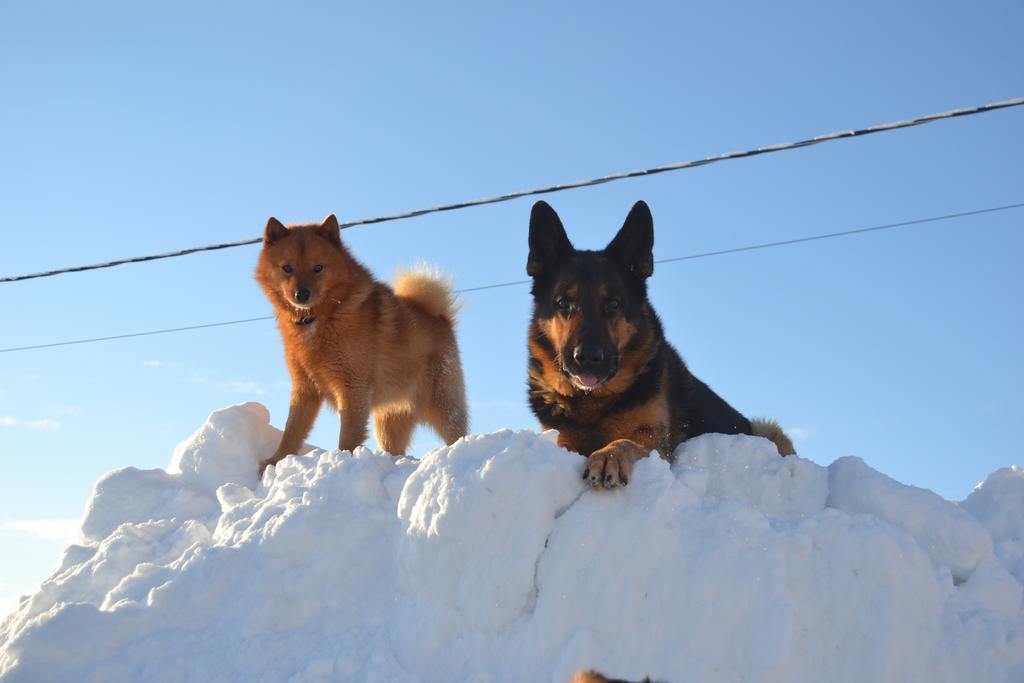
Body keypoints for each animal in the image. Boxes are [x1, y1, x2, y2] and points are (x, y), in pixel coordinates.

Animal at [256, 216, 468, 473]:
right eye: (287, 268)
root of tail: (439, 316)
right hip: (389, 418)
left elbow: (348, 435)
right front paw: (274, 462)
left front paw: (342, 461)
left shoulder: (353, 387)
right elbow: (292, 430)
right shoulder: (305, 389)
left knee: (456, 431)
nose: (301, 294)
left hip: (442, 404)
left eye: (318, 268)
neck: (324, 315)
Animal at [524, 200, 794, 489]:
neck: (593, 404)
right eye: (563, 303)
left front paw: (607, 456)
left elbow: (625, 441)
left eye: (613, 304)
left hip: (768, 429)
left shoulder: (654, 443)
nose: (587, 358)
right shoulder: (561, 439)